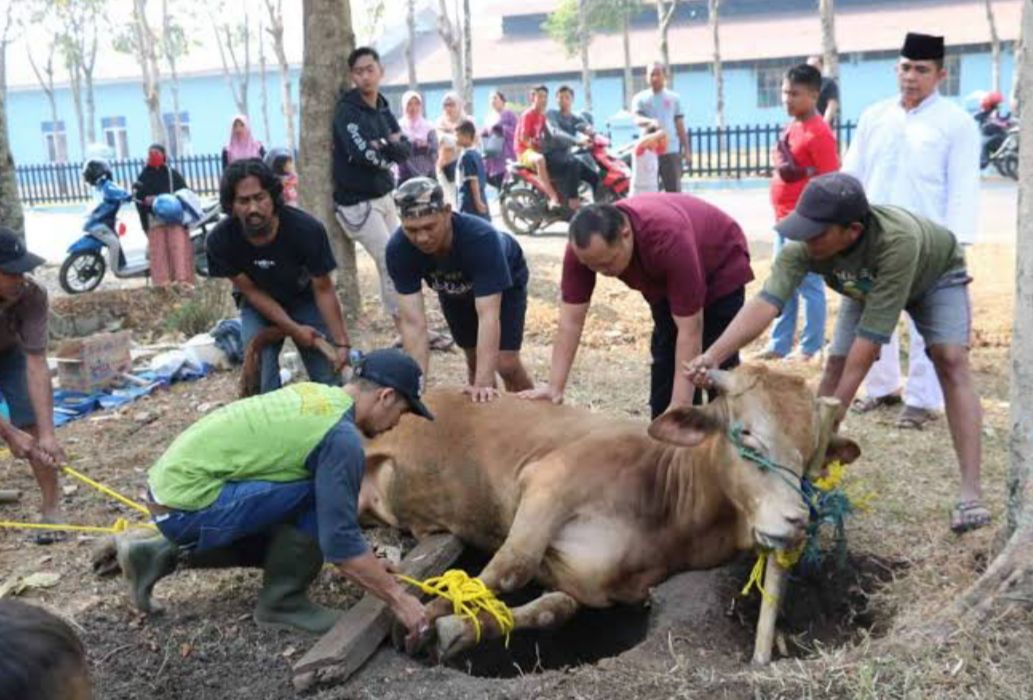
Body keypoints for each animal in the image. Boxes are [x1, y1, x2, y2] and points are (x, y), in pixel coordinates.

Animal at [359, 365, 859, 660]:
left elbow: (556, 607)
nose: (798, 519)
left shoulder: (594, 586)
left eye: (812, 455)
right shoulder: (548, 479)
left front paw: (459, 629)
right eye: (746, 433)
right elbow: (509, 568)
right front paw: (424, 619)